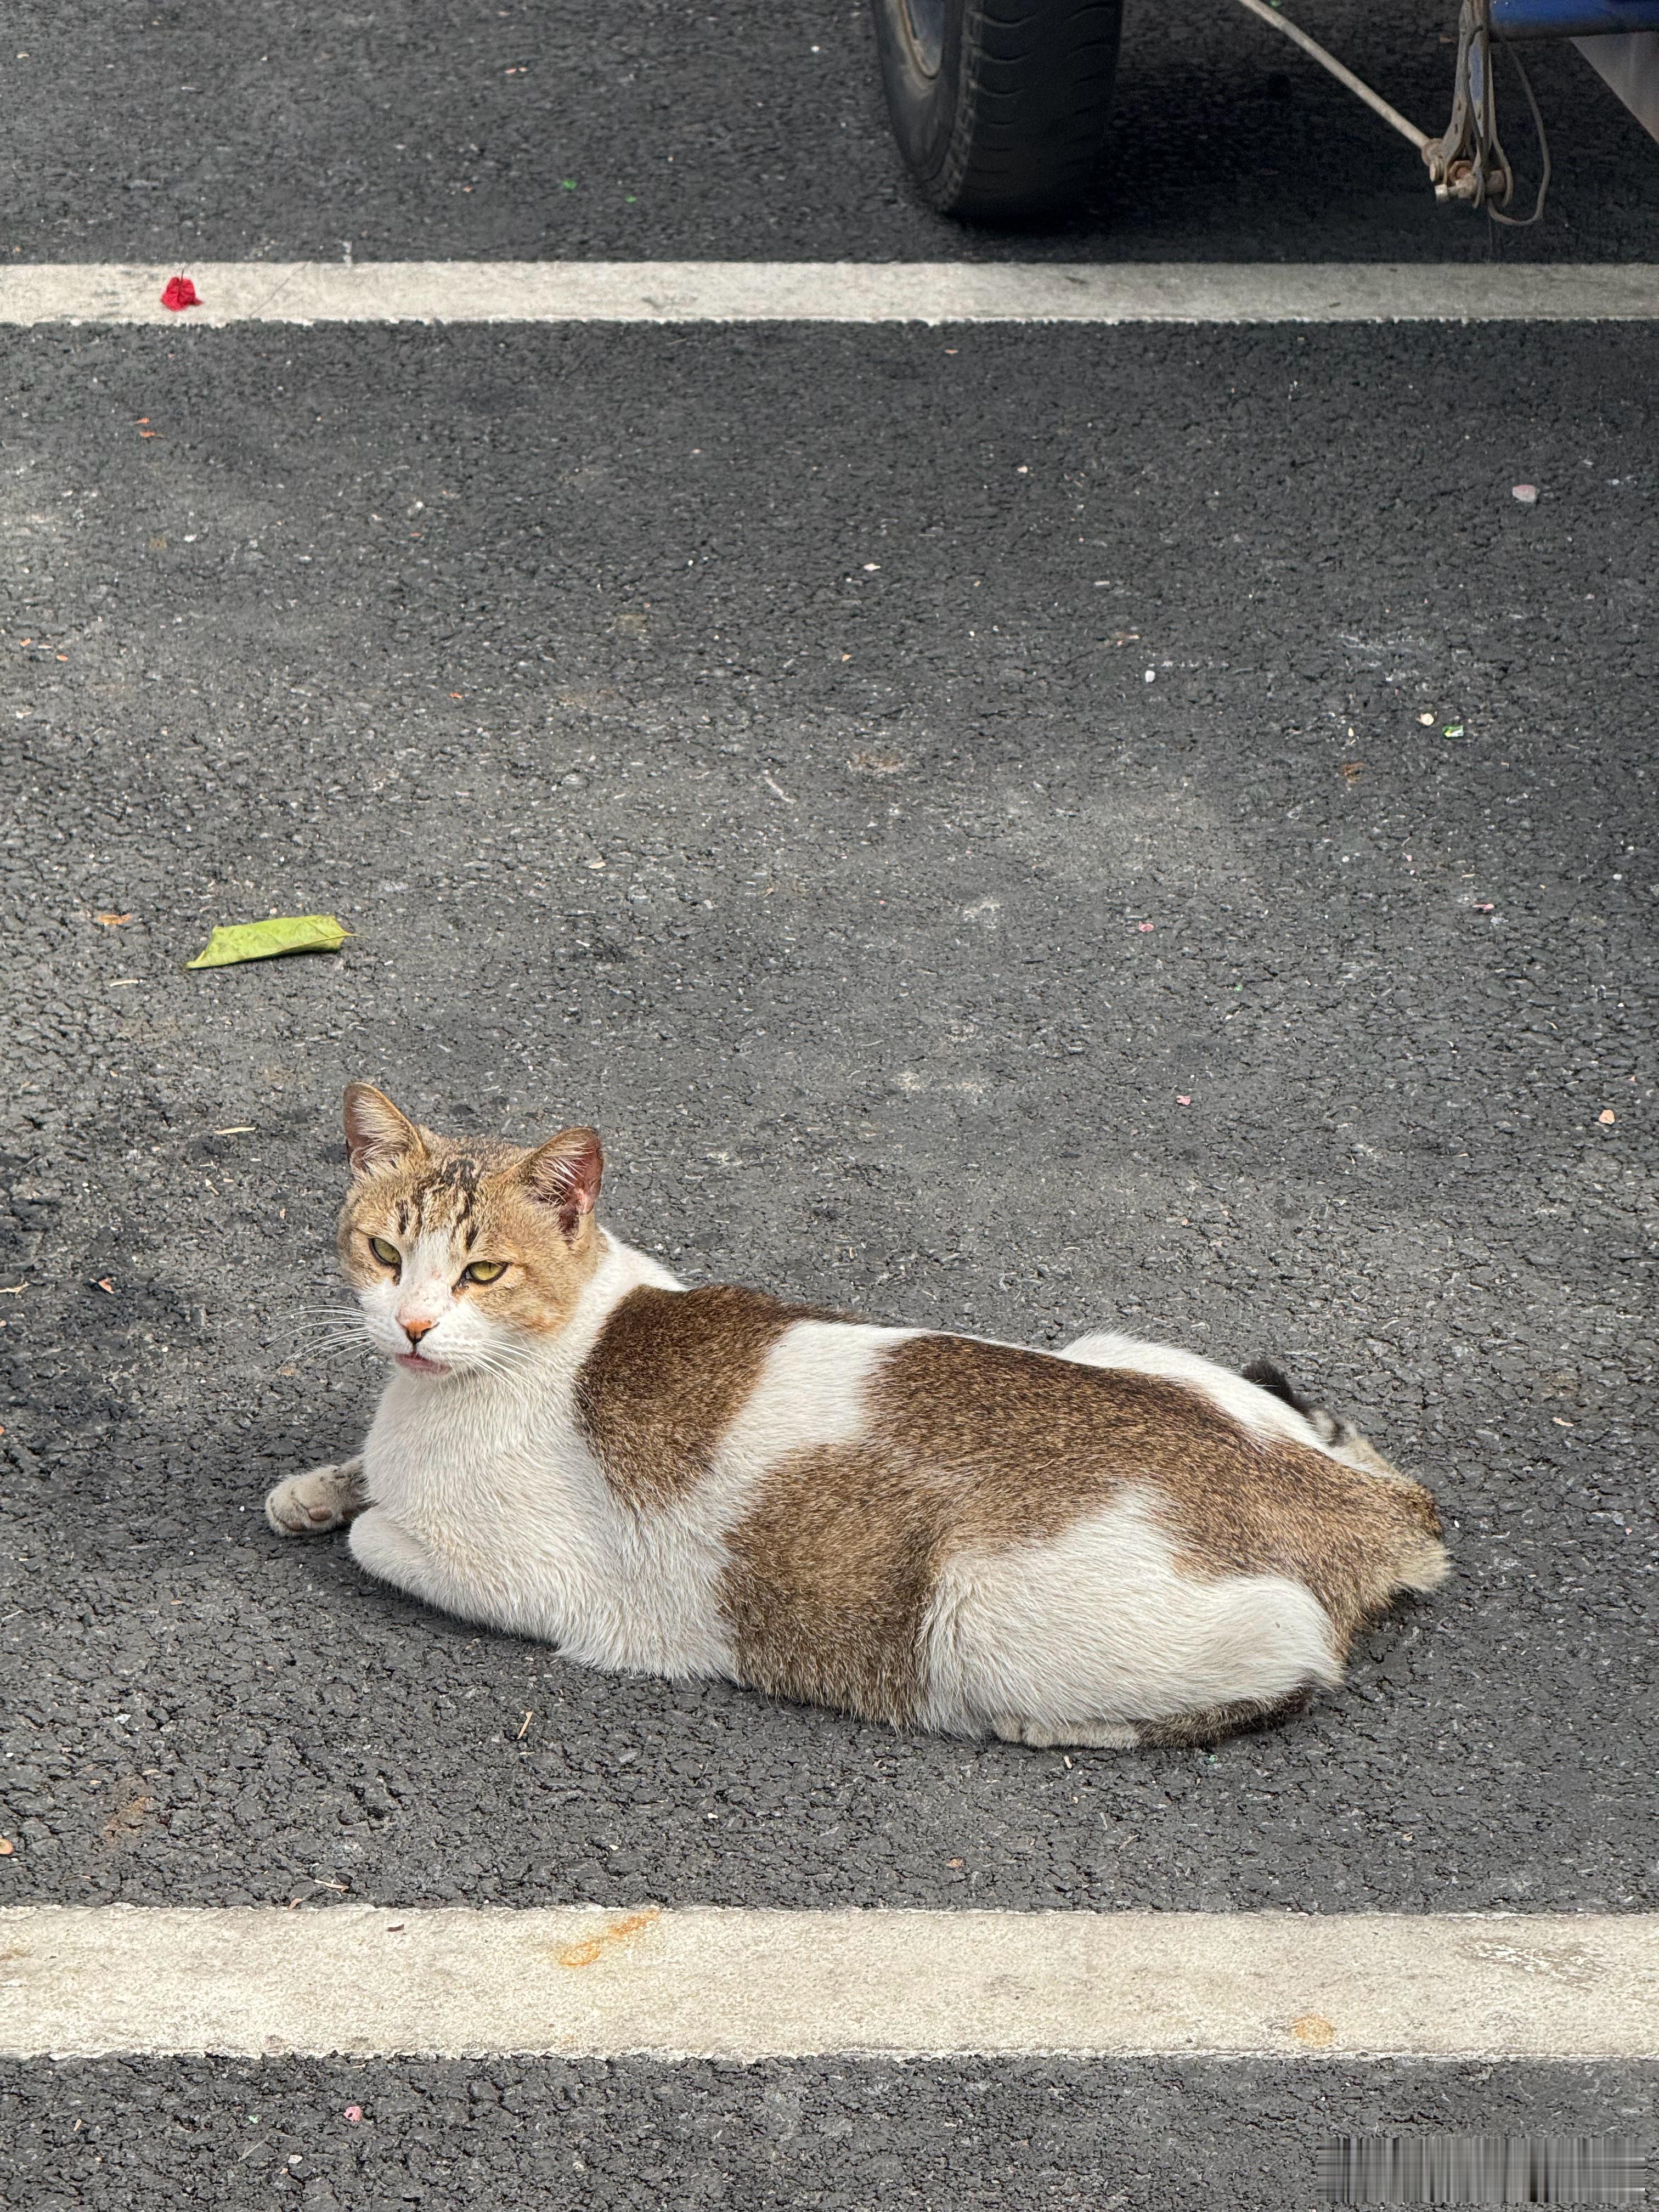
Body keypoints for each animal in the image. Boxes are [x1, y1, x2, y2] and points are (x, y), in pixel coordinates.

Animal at [266, 1084, 1451, 1743]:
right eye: (384, 1252)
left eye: (483, 1272)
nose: (413, 1325)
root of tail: (1338, 1503)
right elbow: (354, 1480)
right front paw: (314, 1489)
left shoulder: (547, 1583)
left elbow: (379, 1538)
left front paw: (346, 1507)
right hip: (1114, 1344)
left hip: (978, 1615)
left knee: (1292, 1669)